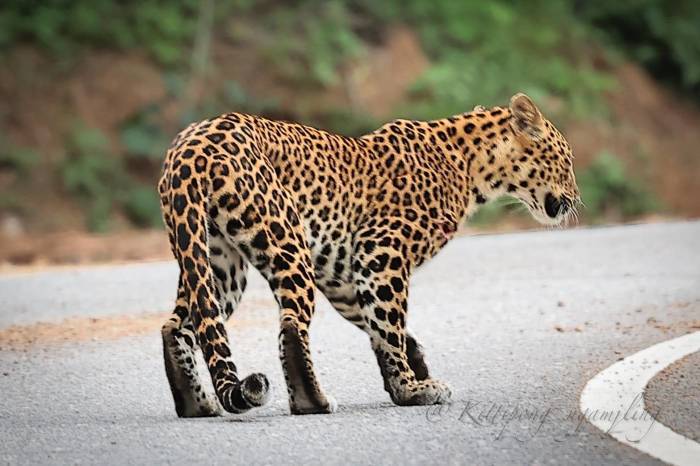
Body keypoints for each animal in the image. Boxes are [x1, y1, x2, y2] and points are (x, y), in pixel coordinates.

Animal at [157, 92, 580, 417]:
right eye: (567, 161)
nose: (576, 199)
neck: (471, 167)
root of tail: (189, 146)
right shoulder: (382, 249)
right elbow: (389, 323)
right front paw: (412, 390)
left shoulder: (342, 273)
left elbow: (382, 327)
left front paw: (414, 372)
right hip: (284, 238)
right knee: (291, 324)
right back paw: (314, 402)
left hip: (214, 257)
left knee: (179, 325)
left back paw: (198, 405)